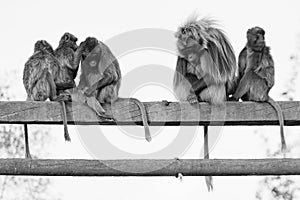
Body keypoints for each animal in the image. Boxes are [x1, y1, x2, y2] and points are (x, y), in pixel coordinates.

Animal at [173, 15, 237, 191]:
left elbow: (215, 75)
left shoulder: (214, 46)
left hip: (214, 93)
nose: (189, 56)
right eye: (185, 50)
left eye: (190, 47)